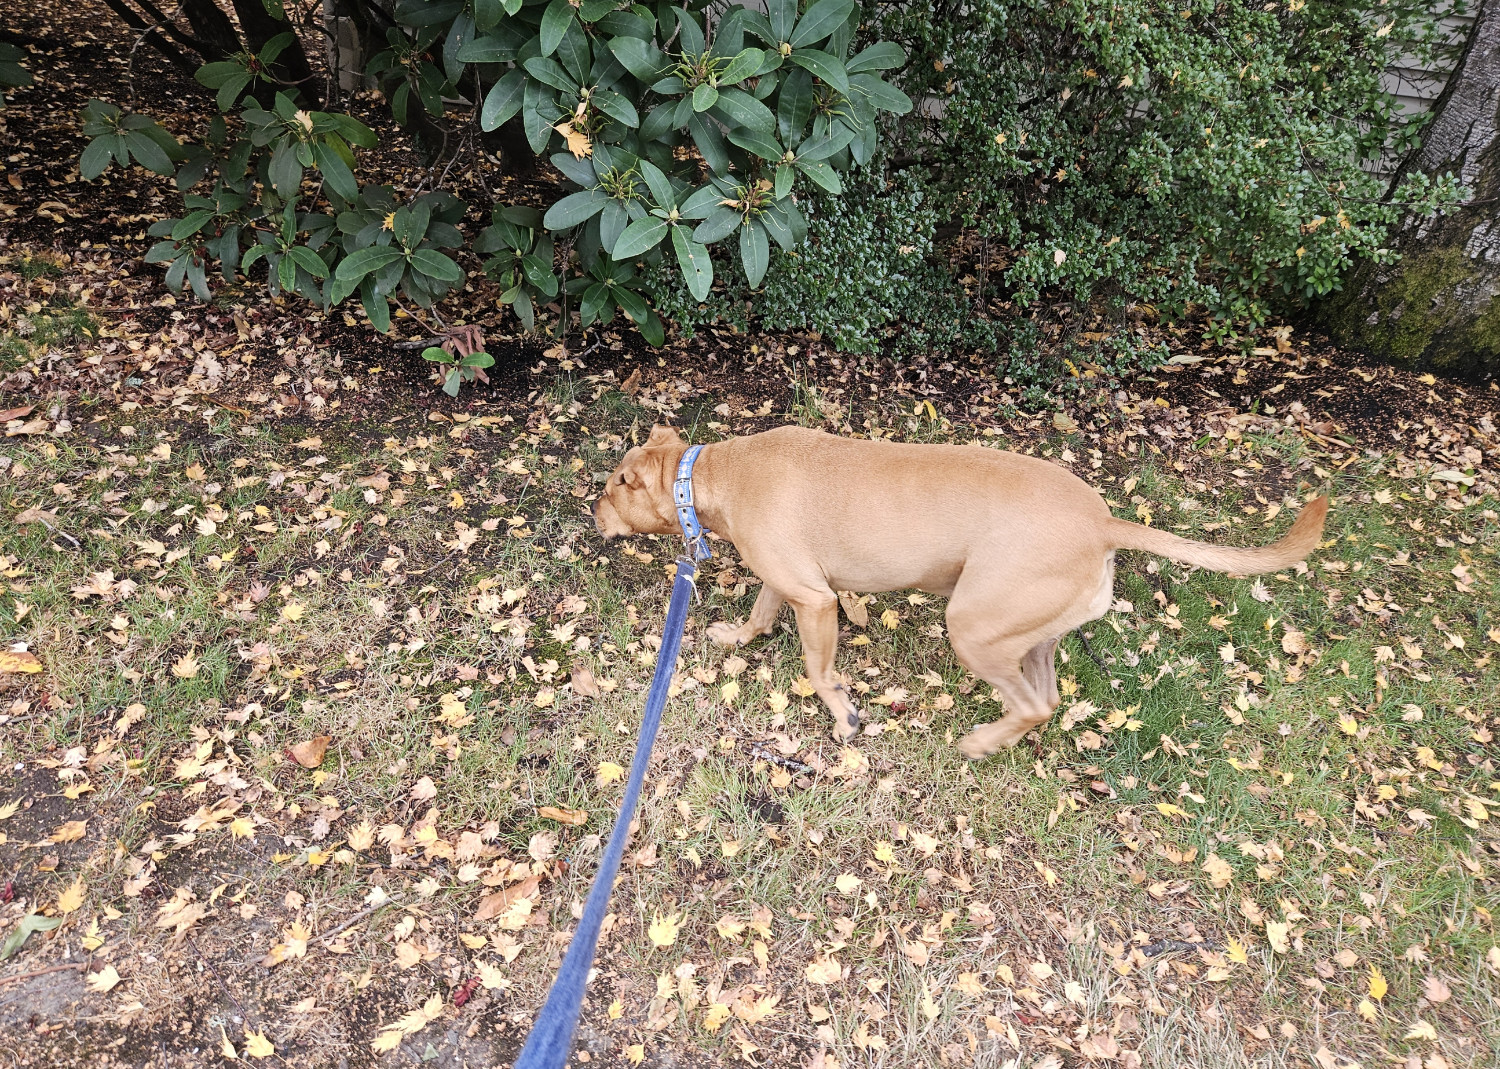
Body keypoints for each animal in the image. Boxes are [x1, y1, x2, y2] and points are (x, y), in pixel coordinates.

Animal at [591, 425, 1332, 758]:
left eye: (609, 487)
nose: (589, 514)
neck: (709, 474)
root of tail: (1101, 521)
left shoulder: (816, 599)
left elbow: (819, 668)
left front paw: (843, 715)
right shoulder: (788, 585)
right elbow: (758, 612)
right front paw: (735, 636)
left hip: (972, 626)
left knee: (1033, 704)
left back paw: (978, 742)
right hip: (1026, 633)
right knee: (1047, 696)